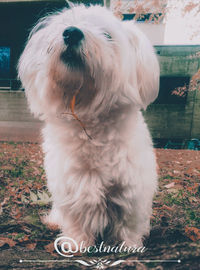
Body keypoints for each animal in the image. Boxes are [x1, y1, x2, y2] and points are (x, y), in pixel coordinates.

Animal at [18, 3, 159, 249]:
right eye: (67, 24)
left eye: (107, 35)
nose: (71, 33)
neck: (89, 122)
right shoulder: (71, 189)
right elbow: (76, 219)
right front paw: (75, 243)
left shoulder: (132, 191)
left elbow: (128, 223)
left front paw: (128, 246)